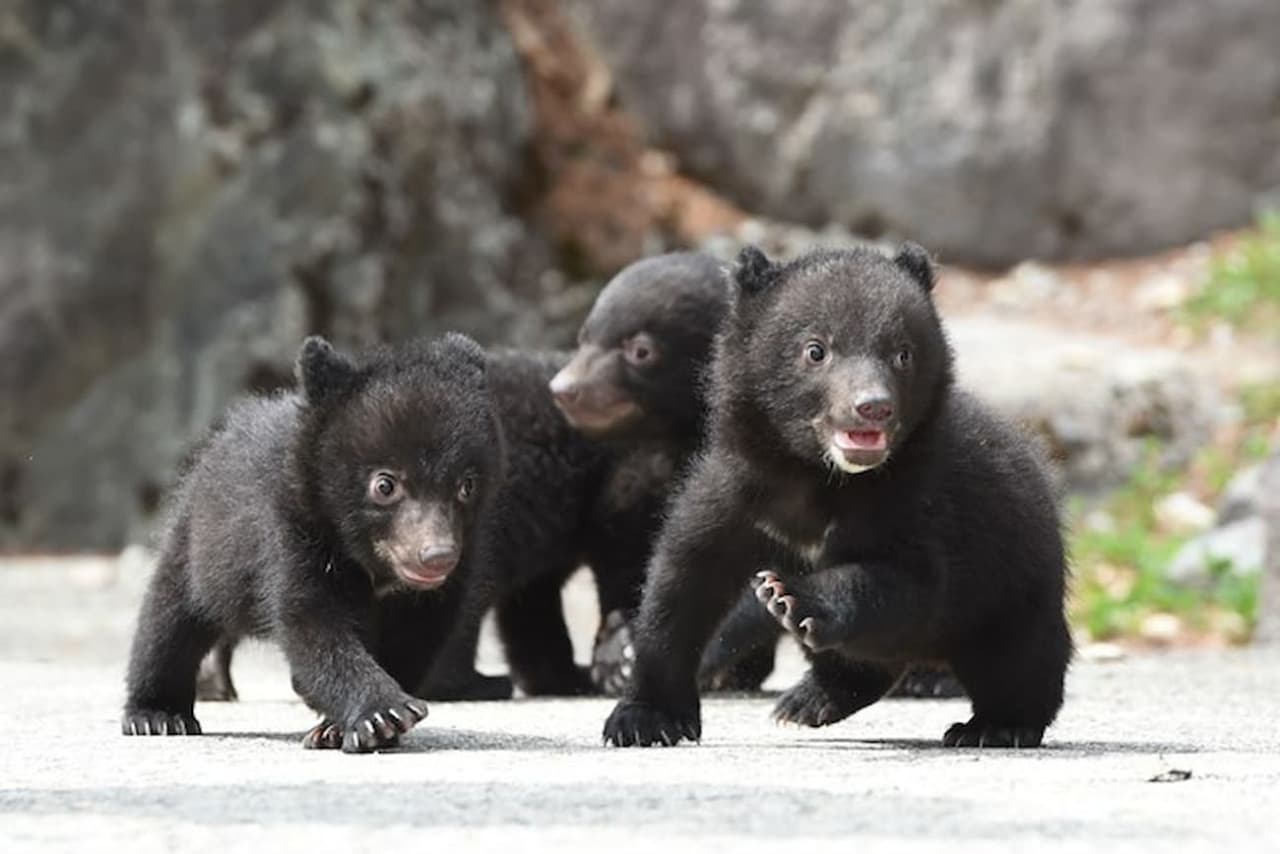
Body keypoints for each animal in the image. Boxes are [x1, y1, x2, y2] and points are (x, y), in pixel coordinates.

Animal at [122, 334, 502, 752]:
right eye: (385, 485)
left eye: (466, 486)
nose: (437, 557)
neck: (370, 564)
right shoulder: (291, 532)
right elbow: (312, 622)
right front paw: (381, 714)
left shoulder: (449, 577)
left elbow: (415, 637)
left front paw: (338, 727)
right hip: (197, 544)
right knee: (168, 622)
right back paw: (156, 715)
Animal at [602, 243, 1072, 748]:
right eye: (816, 350)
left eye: (902, 353)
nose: (873, 407)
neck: (818, 477)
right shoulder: (734, 493)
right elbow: (683, 582)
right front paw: (642, 719)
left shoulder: (916, 504)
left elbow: (910, 583)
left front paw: (786, 594)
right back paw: (808, 701)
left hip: (1014, 581)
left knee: (1018, 659)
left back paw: (994, 725)